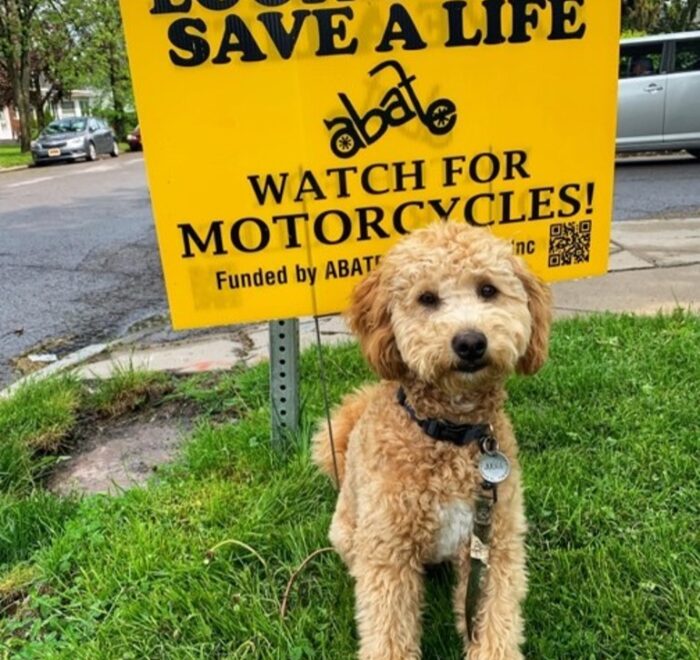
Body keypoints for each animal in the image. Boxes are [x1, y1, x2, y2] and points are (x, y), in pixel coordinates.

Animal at [314, 223, 552, 660]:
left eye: (488, 290)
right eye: (426, 298)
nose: (470, 342)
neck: (450, 435)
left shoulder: (494, 545)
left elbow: (495, 622)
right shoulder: (388, 552)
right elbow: (388, 632)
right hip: (349, 534)